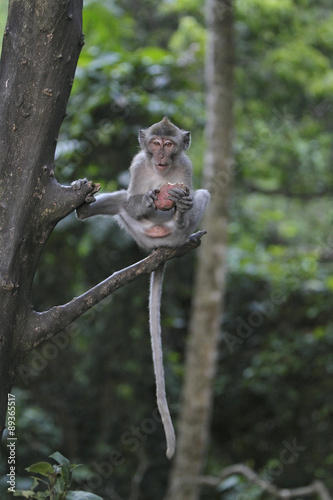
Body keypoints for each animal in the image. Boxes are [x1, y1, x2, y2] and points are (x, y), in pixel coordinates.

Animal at [76, 116, 209, 458]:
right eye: (155, 143)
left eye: (169, 144)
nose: (160, 155)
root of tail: (159, 248)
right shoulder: (137, 165)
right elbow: (132, 194)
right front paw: (147, 199)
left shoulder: (185, 165)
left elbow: (194, 188)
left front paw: (182, 204)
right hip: (139, 235)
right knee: (122, 199)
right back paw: (83, 209)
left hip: (174, 239)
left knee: (204, 195)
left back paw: (181, 220)